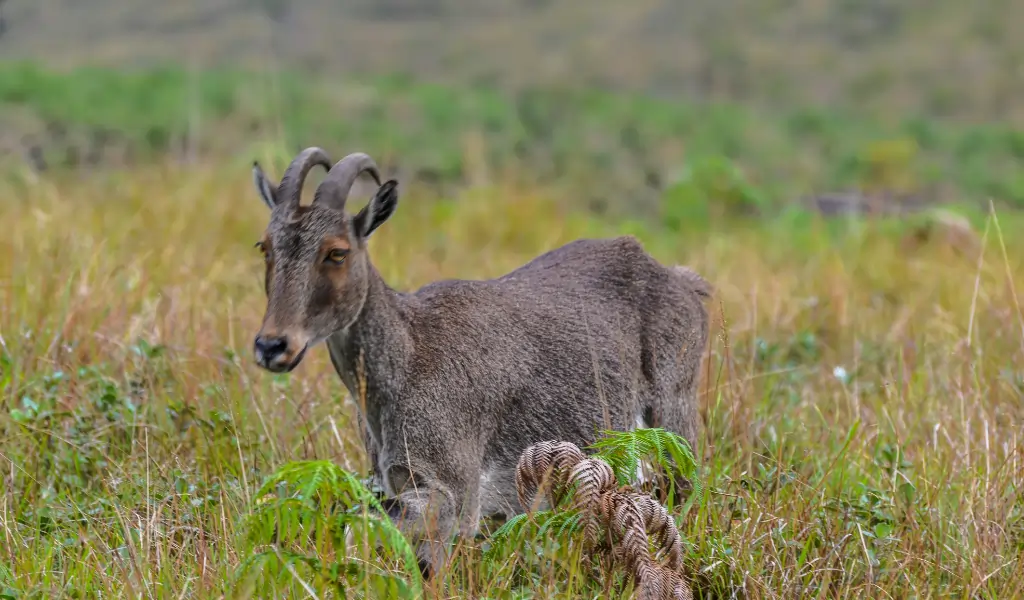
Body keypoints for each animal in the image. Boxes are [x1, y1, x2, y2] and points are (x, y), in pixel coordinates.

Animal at [248, 147, 712, 576]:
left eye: (337, 252)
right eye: (264, 246)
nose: (273, 345)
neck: (405, 359)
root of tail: (685, 282)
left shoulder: (454, 496)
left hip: (673, 418)